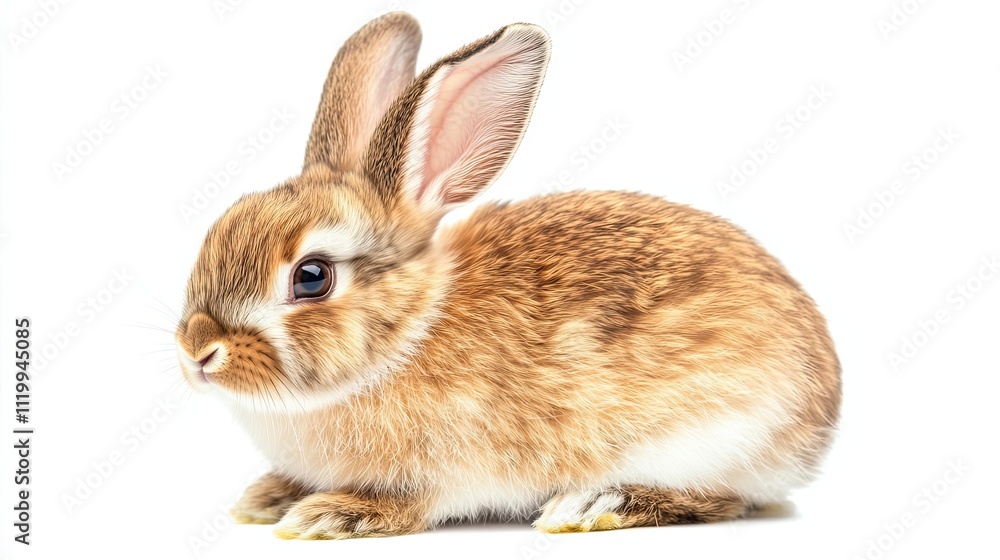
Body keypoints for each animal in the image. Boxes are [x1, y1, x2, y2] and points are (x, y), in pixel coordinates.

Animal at [175, 12, 841, 540]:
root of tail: (821, 415)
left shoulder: (443, 465)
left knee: (721, 498)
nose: (198, 352)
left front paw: (331, 515)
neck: (409, 332)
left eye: (311, 277)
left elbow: (413, 504)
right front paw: (266, 498)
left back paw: (597, 503)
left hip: (713, 436)